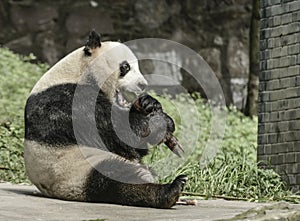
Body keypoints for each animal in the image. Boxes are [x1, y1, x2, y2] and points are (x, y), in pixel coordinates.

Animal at [24, 31, 188, 209]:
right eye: (125, 67)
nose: (142, 85)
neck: (78, 72)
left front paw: (149, 103)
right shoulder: (69, 103)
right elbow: (121, 135)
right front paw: (162, 122)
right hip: (75, 171)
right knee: (115, 179)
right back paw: (169, 190)